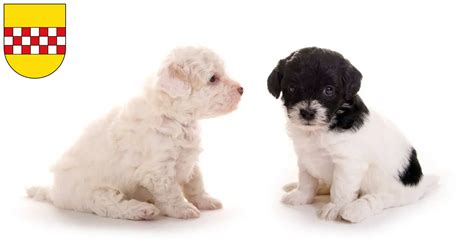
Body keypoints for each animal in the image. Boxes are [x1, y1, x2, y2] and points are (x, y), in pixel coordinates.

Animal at [27, 46, 244, 221]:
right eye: (213, 79)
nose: (242, 89)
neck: (173, 117)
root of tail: (54, 192)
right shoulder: (159, 170)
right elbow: (171, 192)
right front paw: (182, 209)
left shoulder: (189, 159)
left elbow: (196, 182)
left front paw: (205, 200)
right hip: (92, 193)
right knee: (111, 204)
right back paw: (143, 210)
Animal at [268, 47, 438, 223]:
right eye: (292, 88)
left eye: (328, 90)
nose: (307, 113)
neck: (322, 128)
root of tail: (422, 183)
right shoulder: (305, 157)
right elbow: (306, 180)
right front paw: (300, 195)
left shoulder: (348, 164)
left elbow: (340, 188)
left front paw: (335, 207)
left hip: (394, 192)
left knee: (378, 199)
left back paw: (355, 209)